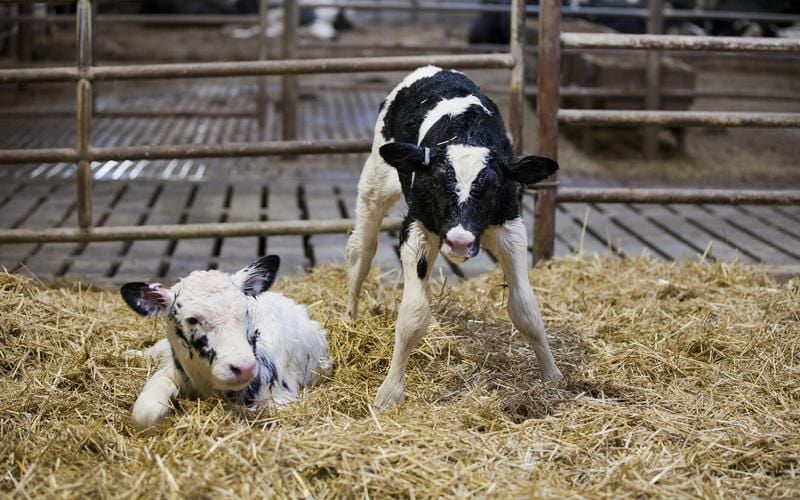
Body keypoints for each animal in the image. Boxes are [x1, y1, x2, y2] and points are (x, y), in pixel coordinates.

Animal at [121, 255, 331, 431]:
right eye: (192, 319)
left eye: (247, 310)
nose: (244, 368)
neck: (207, 386)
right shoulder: (171, 372)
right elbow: (145, 413)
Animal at [345, 66, 564, 408]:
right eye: (436, 183)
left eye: (491, 187)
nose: (460, 241)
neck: (466, 132)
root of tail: (433, 69)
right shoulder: (415, 228)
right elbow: (413, 316)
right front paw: (389, 392)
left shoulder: (510, 229)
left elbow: (526, 310)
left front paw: (552, 375)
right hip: (375, 182)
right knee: (362, 251)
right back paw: (350, 320)